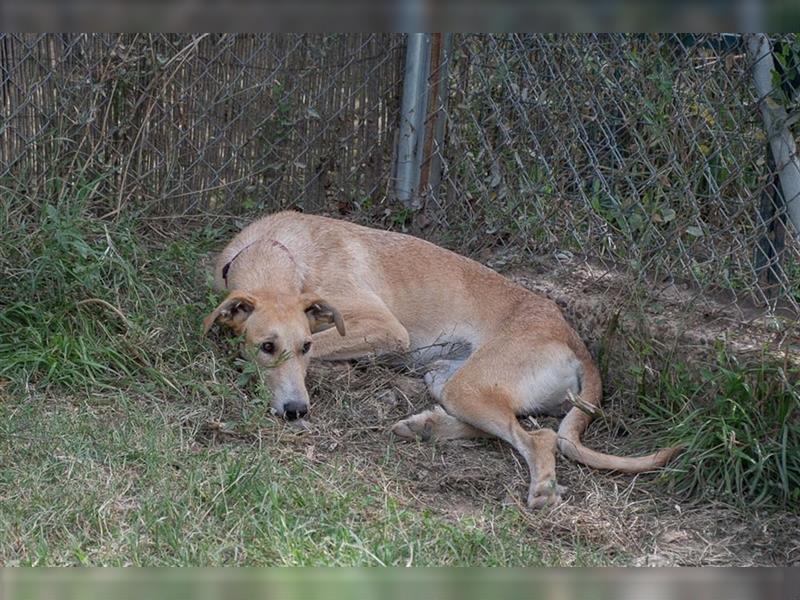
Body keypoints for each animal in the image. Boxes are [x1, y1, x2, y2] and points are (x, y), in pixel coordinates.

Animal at [203, 211, 680, 506]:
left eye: (302, 347)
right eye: (268, 346)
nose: (296, 410)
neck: (281, 250)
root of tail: (573, 338)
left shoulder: (386, 329)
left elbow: (323, 345)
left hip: (470, 385)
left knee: (539, 438)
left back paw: (541, 487)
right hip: (448, 380)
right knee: (501, 428)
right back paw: (427, 427)